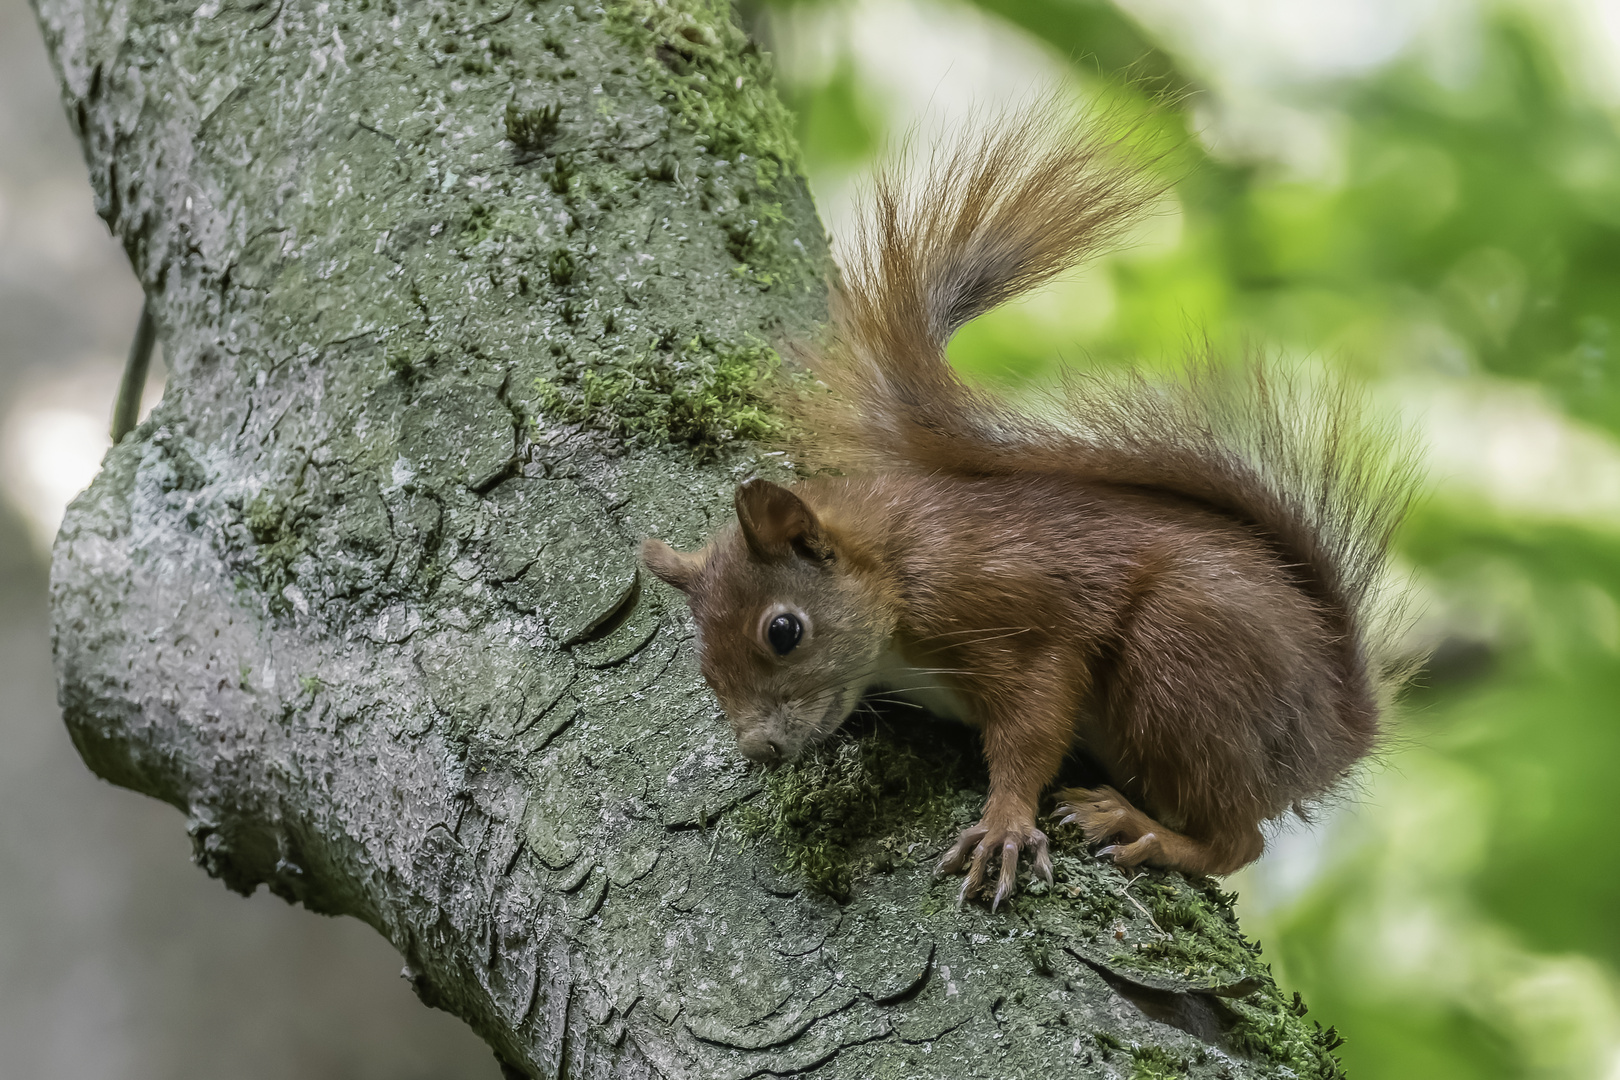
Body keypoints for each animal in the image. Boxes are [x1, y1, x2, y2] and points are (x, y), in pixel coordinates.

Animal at [638, 116, 1412, 913]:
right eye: (704, 664)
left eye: (784, 631)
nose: (758, 750)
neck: (897, 563)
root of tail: (1338, 734)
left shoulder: (1016, 615)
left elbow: (1035, 725)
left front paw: (1004, 824)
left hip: (1184, 663)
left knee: (1238, 839)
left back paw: (1141, 826)